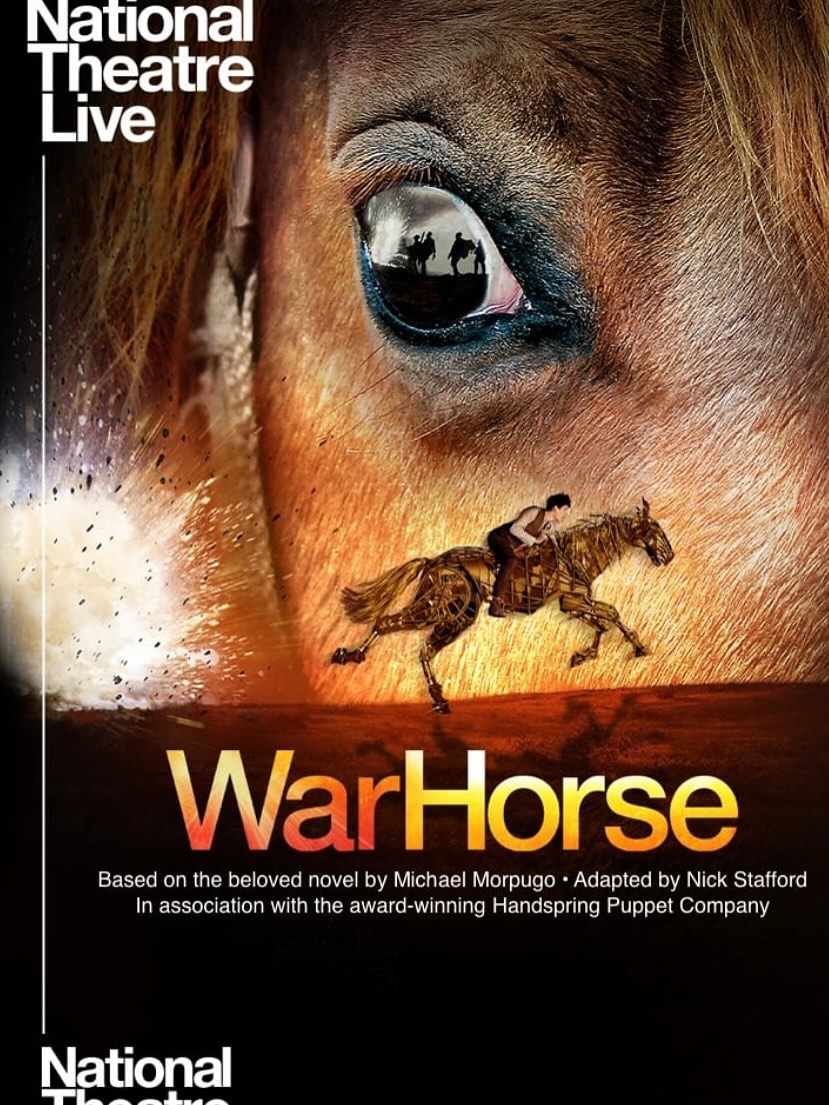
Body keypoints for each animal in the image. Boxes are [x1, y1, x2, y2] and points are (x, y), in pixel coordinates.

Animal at [331, 502, 673, 712]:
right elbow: (611, 614)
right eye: (653, 530)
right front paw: (637, 647)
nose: (669, 557)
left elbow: (602, 620)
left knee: (410, 639)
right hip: (449, 611)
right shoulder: (571, 601)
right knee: (397, 629)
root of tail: (432, 562)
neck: (579, 553)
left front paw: (583, 656)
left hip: (450, 613)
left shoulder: (572, 603)